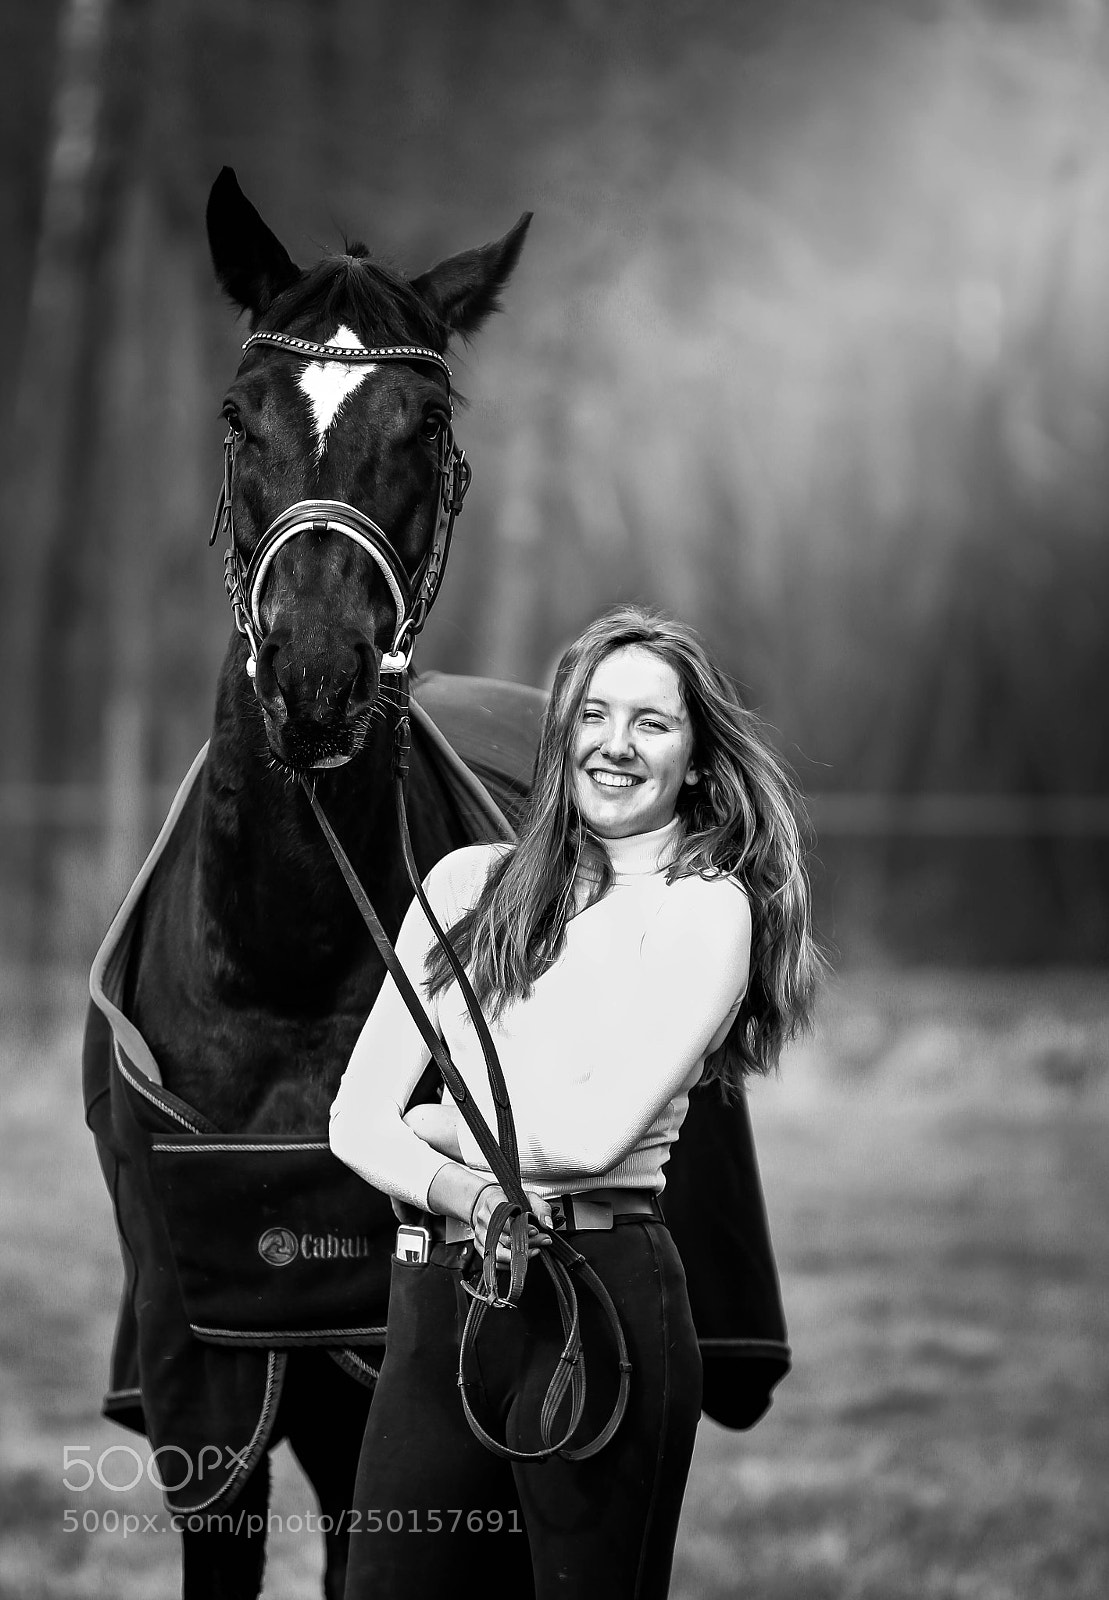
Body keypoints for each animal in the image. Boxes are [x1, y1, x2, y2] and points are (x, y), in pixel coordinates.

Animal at [86, 168, 537, 1600]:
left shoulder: (414, 1338)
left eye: (428, 423)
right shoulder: (205, 1359)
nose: (318, 677)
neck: (280, 958)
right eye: (240, 416)